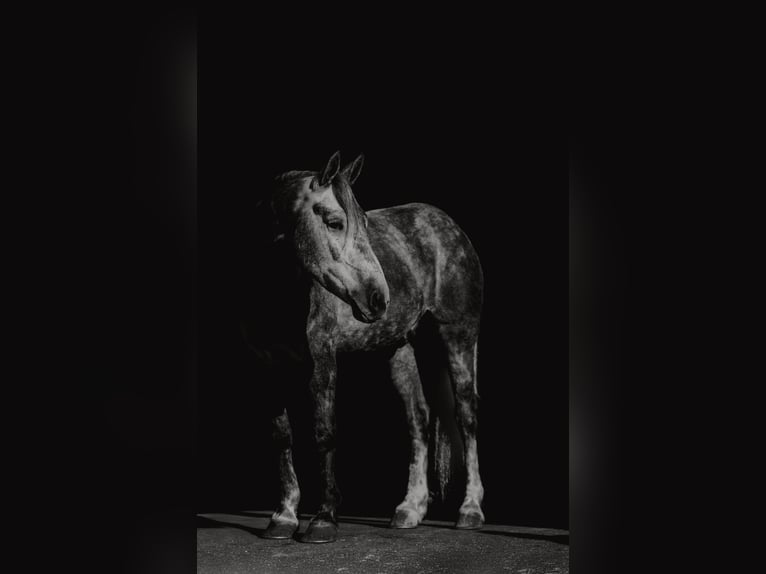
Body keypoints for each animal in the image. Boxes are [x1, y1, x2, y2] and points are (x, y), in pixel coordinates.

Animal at [258, 151, 485, 543]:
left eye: (363, 221)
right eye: (334, 222)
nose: (379, 298)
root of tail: (450, 227)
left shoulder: (322, 361)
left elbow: (324, 433)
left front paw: (323, 520)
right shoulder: (270, 366)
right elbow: (282, 436)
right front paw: (283, 517)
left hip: (458, 336)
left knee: (466, 414)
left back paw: (470, 510)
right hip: (401, 349)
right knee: (418, 418)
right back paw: (409, 509)